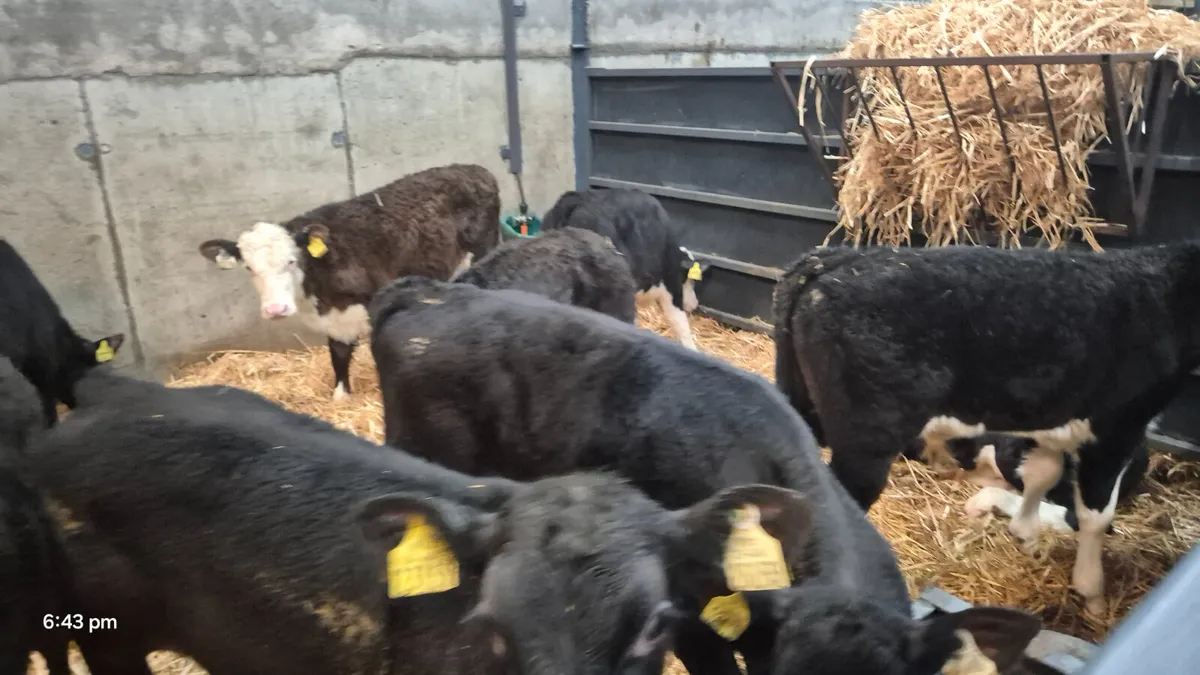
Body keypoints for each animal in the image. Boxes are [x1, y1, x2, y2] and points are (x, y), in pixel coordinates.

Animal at [198, 163, 501, 400]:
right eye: (249, 267)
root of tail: (475, 169)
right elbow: (338, 354)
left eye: (292, 261)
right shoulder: (335, 319)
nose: (276, 310)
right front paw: (340, 396)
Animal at [771, 243, 1191, 616]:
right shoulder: (1117, 428)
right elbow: (1094, 517)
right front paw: (1092, 591)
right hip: (867, 441)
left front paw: (1025, 530)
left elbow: (1043, 472)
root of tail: (835, 257)